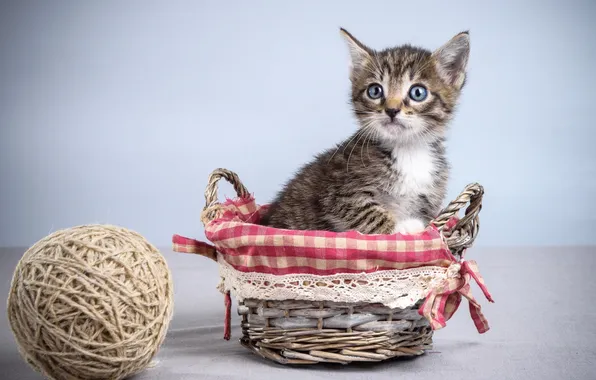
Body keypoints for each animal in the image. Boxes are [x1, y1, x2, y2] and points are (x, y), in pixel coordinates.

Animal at [260, 28, 470, 235]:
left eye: (418, 93)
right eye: (375, 91)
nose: (391, 110)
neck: (407, 149)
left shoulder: (430, 200)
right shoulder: (338, 193)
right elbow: (368, 213)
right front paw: (403, 227)